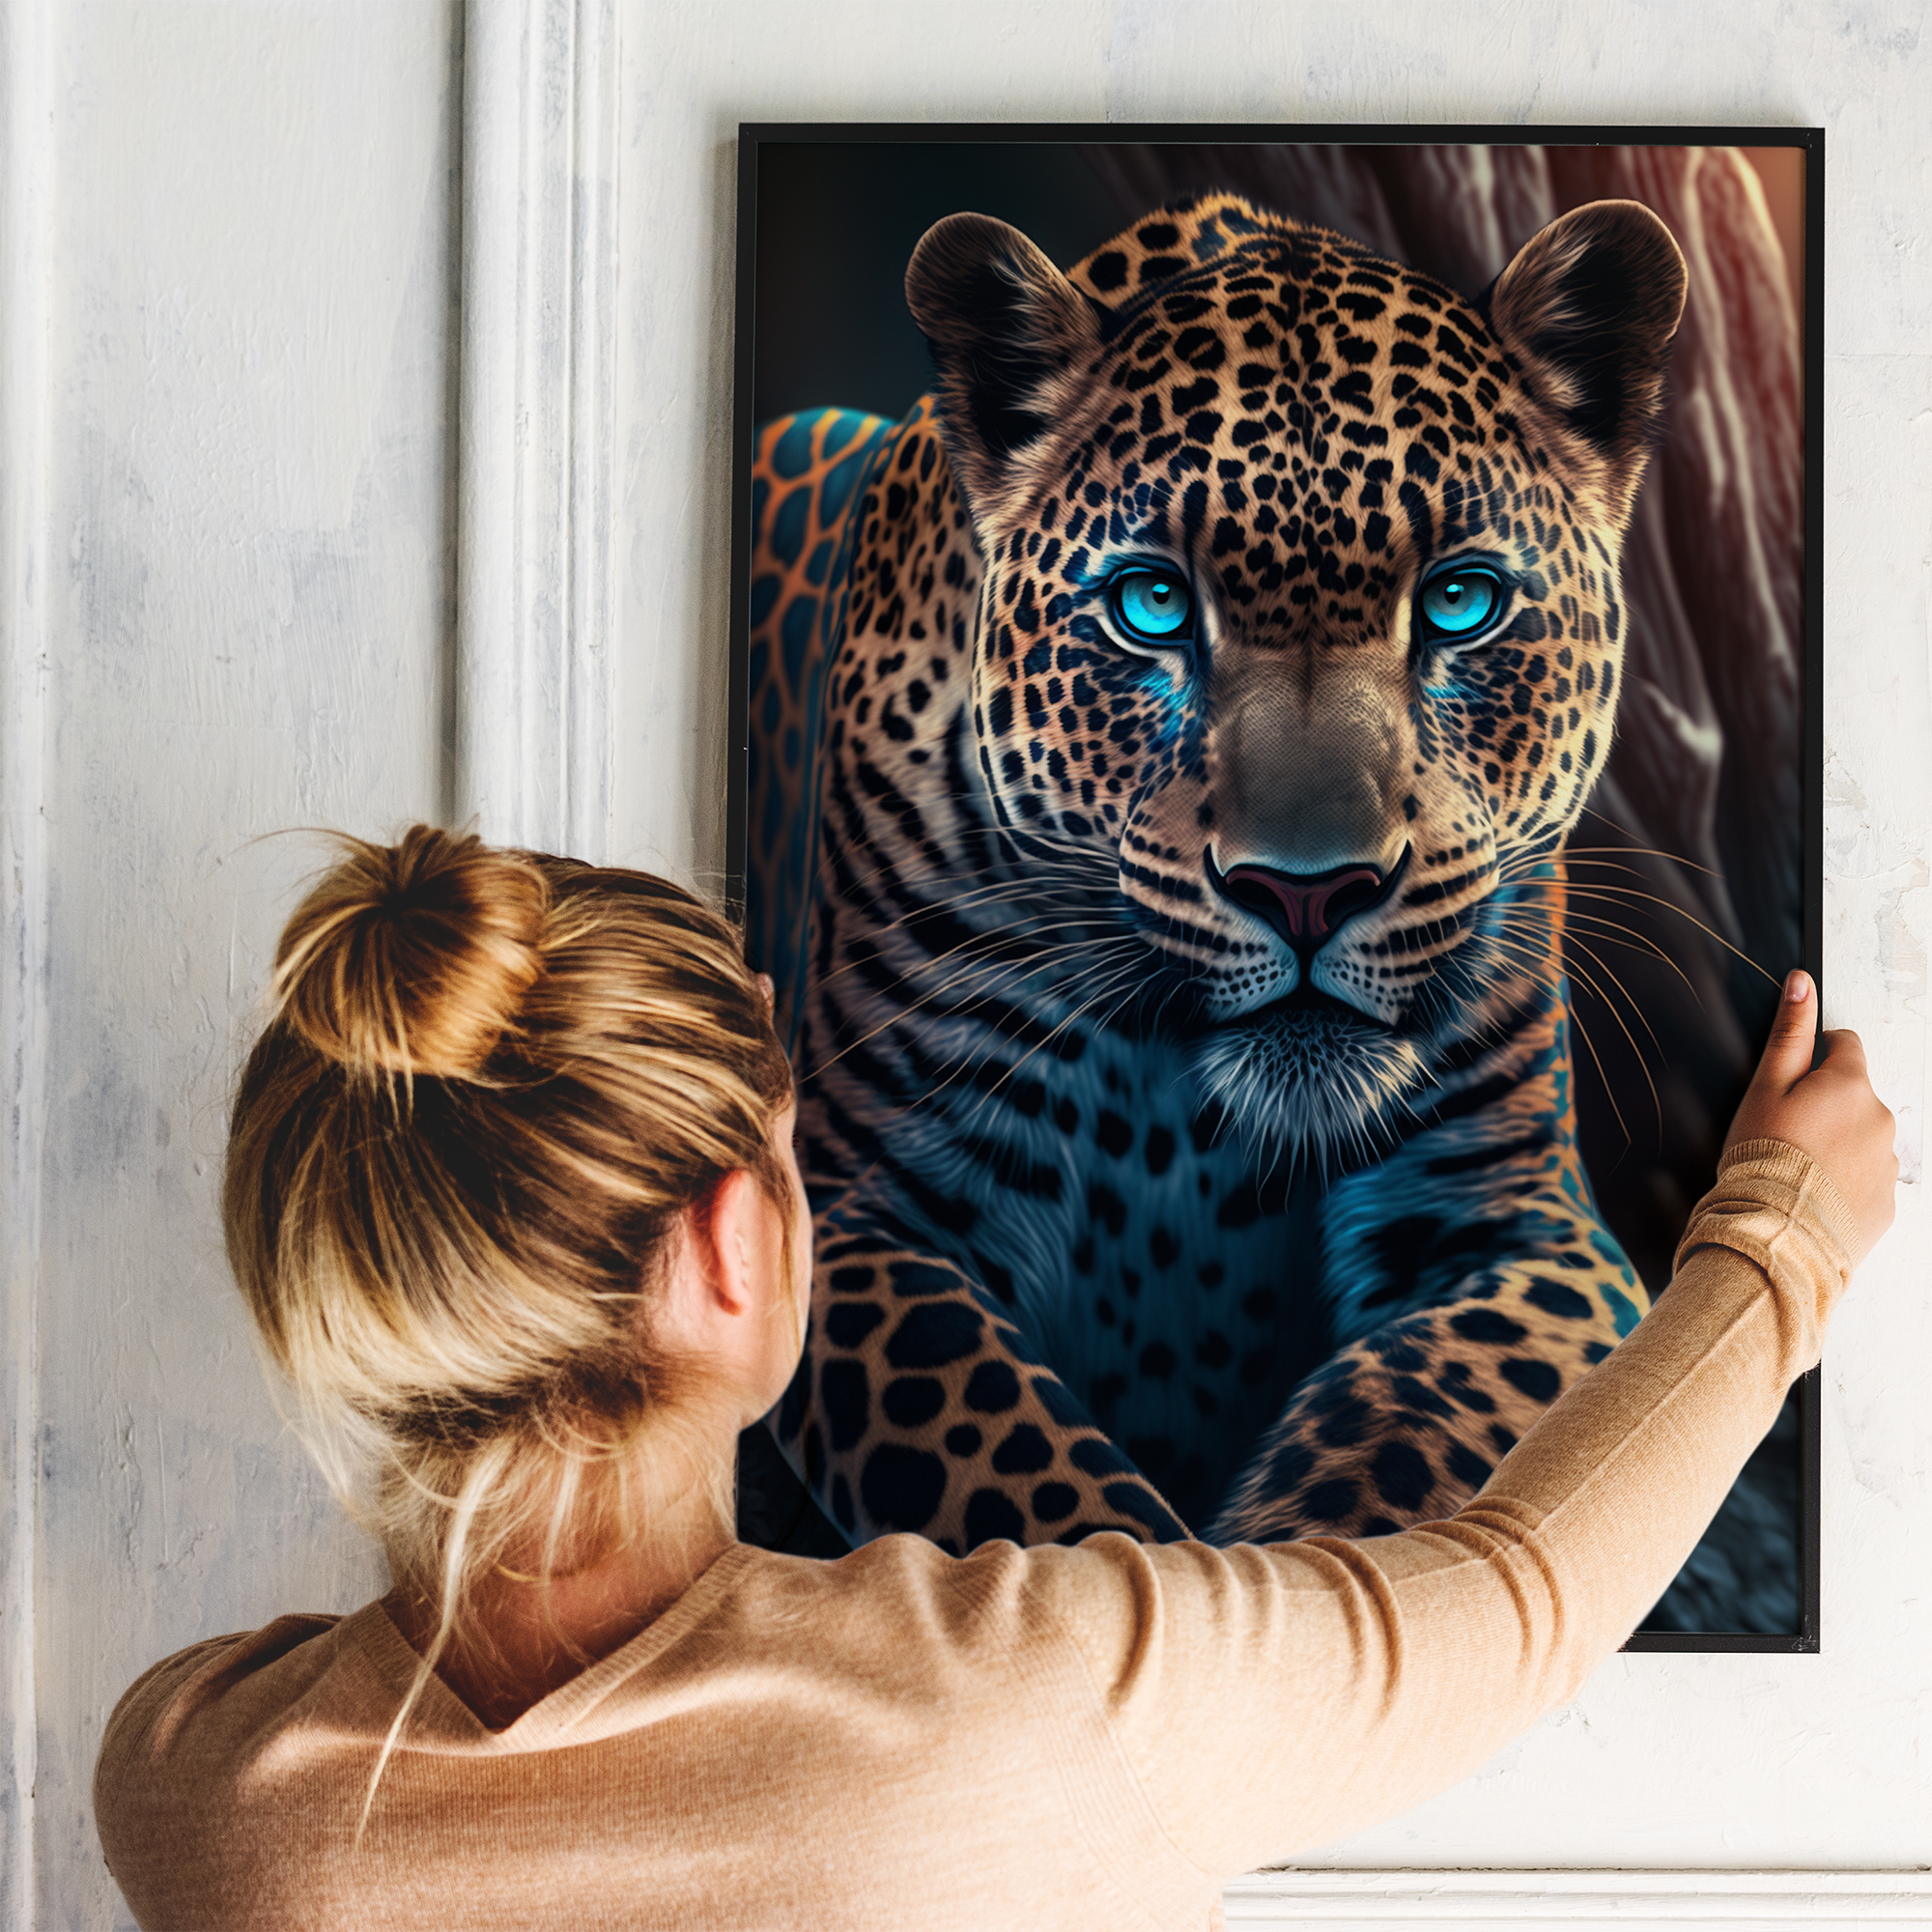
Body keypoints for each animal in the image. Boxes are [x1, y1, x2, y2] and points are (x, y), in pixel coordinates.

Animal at [743, 191, 1689, 1560]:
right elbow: (1042, 1506)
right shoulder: (867, 1207)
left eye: (1459, 601)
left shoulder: (1512, 1215)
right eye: (1149, 604)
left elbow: (1388, 1477)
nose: (1307, 890)